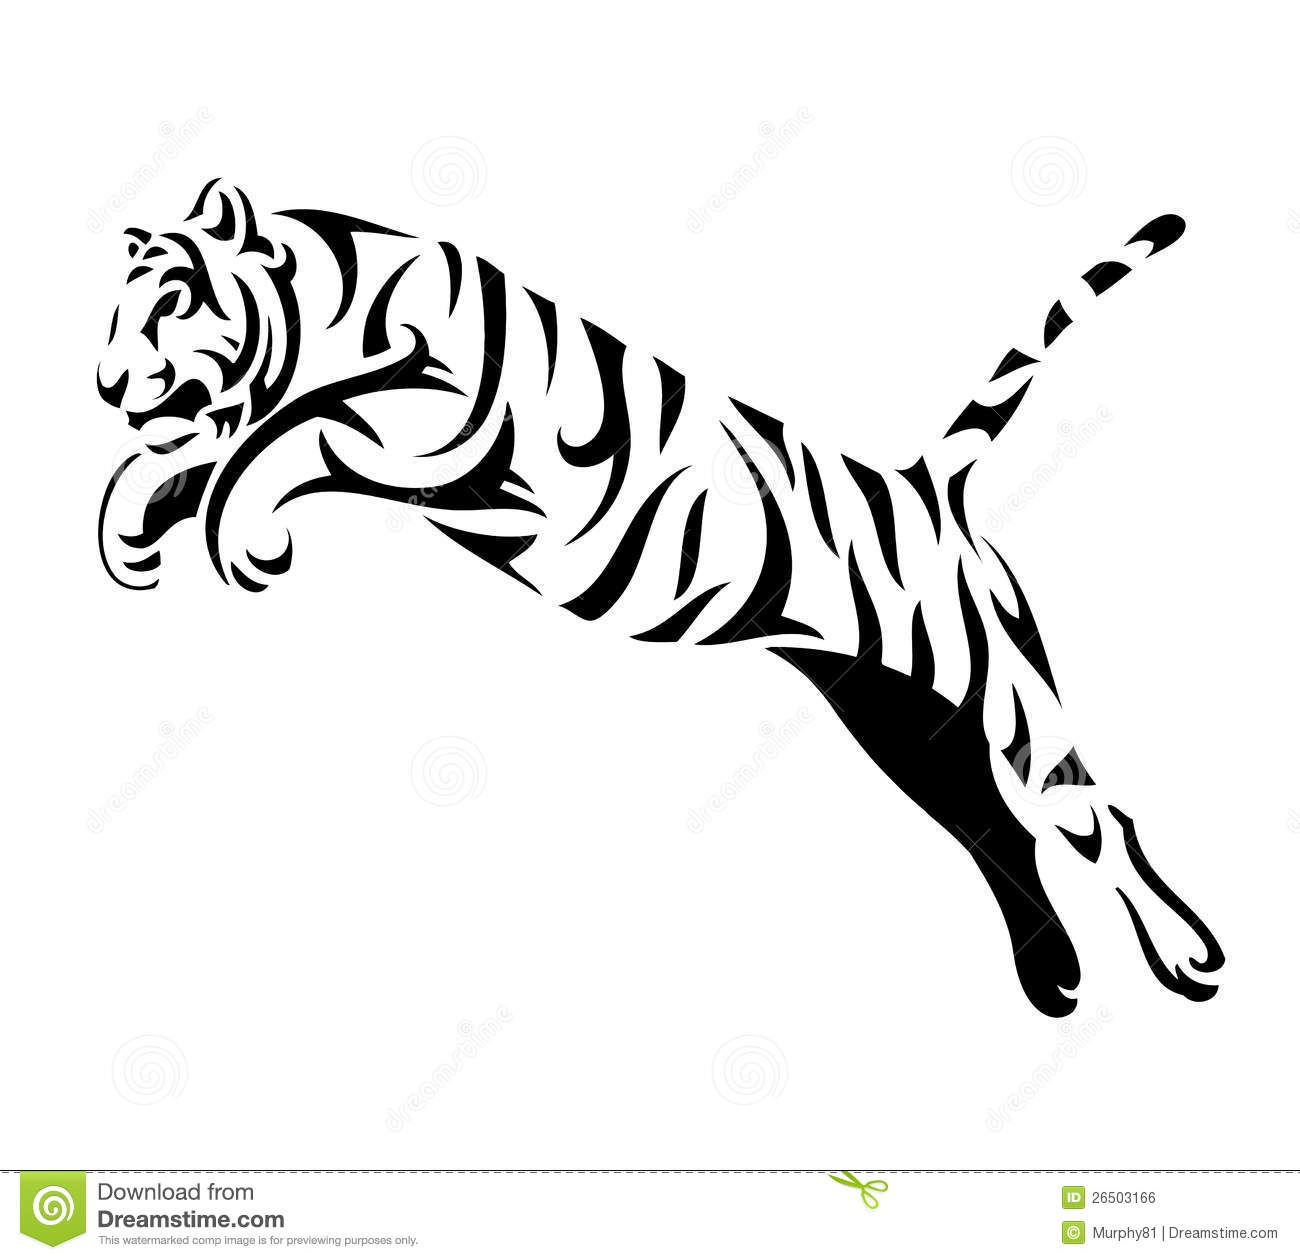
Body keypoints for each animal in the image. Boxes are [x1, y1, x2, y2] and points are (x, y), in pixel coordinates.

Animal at [96, 177, 1224, 1017]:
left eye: (171, 302)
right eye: (114, 311)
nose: (107, 386)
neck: (331, 301)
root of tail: (926, 481)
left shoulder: (425, 419)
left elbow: (285, 437)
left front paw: (239, 534)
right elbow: (197, 457)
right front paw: (135, 526)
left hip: (1002, 699)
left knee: (1094, 819)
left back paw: (1187, 958)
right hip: (900, 722)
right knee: (998, 830)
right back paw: (1054, 981)